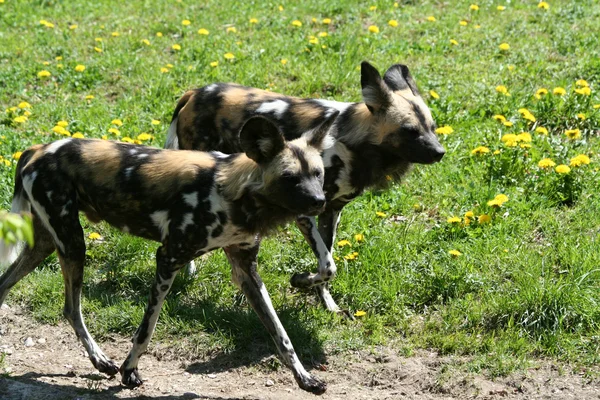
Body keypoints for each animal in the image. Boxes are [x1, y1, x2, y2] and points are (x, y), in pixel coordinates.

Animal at [0, 114, 338, 396]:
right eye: (290, 178)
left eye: (318, 174)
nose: (319, 201)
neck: (234, 194)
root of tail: (37, 149)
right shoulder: (169, 258)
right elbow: (146, 330)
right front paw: (129, 372)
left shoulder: (246, 270)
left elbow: (281, 334)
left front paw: (305, 379)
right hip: (72, 243)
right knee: (72, 308)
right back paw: (102, 360)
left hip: (47, 243)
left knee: (8, 285)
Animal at [164, 60, 446, 316]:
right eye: (410, 130)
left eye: (432, 127)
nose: (440, 152)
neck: (353, 143)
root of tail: (196, 92)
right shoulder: (304, 210)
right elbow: (329, 266)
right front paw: (301, 281)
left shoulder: (330, 211)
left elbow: (327, 263)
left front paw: (325, 302)